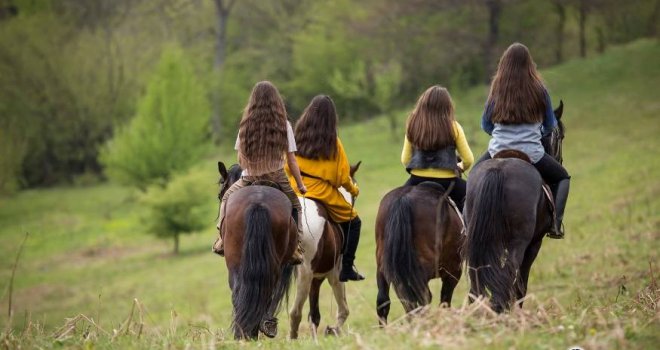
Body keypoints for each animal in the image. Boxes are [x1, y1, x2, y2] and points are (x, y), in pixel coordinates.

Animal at [376, 180, 464, 326]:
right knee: (423, 298)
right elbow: (445, 301)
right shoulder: (453, 271)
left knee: (385, 300)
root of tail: (404, 198)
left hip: (384, 268)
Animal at [464, 100, 568, 312]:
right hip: (519, 242)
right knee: (510, 275)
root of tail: (498, 170)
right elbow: (521, 282)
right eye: (561, 136)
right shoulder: (534, 243)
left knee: (477, 279)